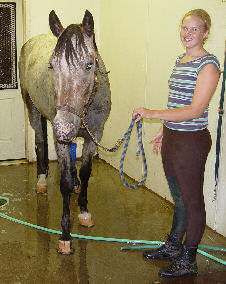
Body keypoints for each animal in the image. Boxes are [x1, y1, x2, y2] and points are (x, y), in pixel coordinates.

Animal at [19, 10, 111, 254]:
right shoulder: (59, 138)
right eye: (52, 66)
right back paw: (42, 181)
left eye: (89, 65)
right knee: (40, 141)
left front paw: (84, 212)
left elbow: (86, 172)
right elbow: (65, 182)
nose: (63, 128)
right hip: (33, 109)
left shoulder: (94, 135)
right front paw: (66, 235)